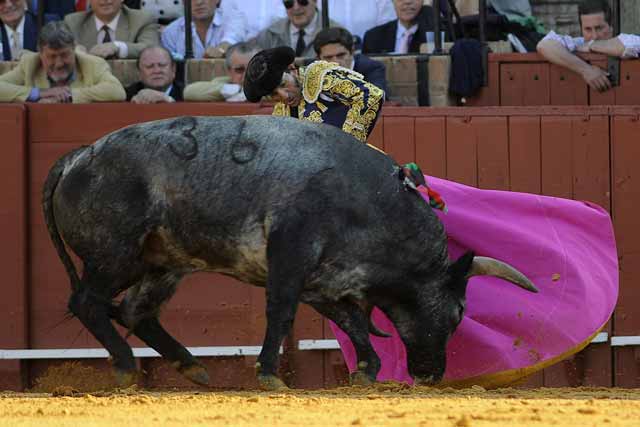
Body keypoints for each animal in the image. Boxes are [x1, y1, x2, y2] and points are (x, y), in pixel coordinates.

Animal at [42, 115, 536, 390]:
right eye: (458, 312)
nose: (432, 375)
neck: (370, 201)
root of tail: (78, 156)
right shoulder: (291, 255)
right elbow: (281, 313)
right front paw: (269, 373)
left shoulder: (324, 281)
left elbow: (353, 322)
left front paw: (368, 370)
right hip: (116, 254)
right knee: (88, 302)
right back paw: (127, 369)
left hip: (163, 262)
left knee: (134, 310)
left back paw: (192, 367)